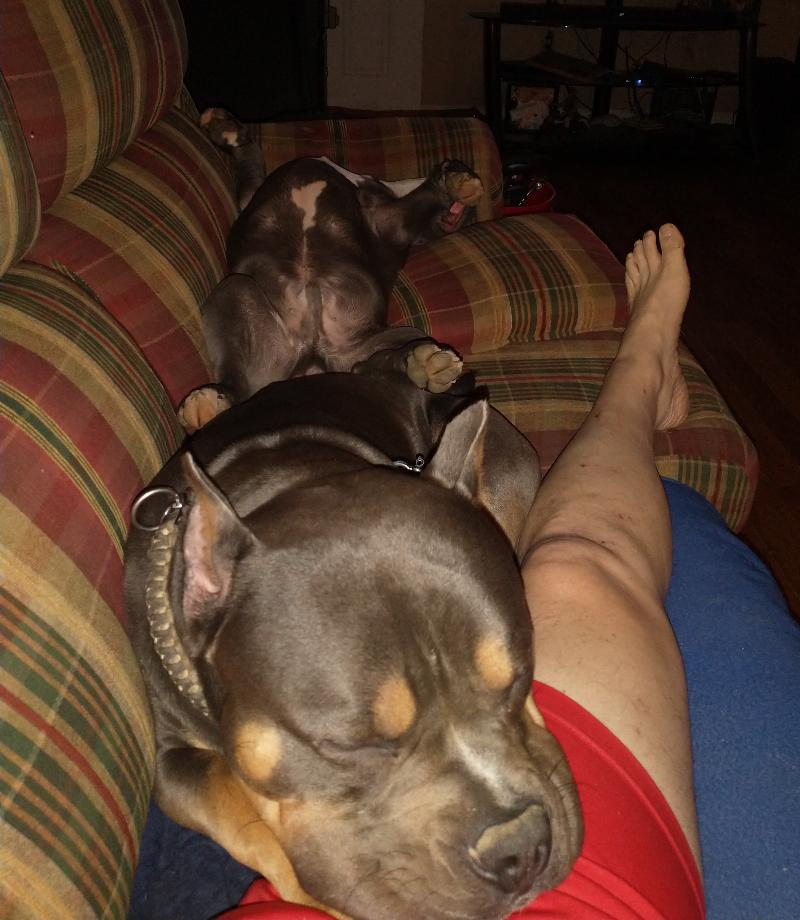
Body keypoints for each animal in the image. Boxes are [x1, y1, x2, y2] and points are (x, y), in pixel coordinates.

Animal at [125, 371, 583, 920]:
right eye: (351, 744)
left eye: (519, 677)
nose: (520, 847)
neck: (281, 478)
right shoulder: (170, 760)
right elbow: (231, 800)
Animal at [178, 108, 487, 432]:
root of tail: (313, 357)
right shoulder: (252, 195)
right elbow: (250, 164)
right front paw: (226, 129)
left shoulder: (387, 221)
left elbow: (417, 204)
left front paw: (453, 183)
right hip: (237, 296)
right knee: (237, 377)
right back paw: (211, 399)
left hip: (386, 339)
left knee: (380, 363)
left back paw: (423, 364)